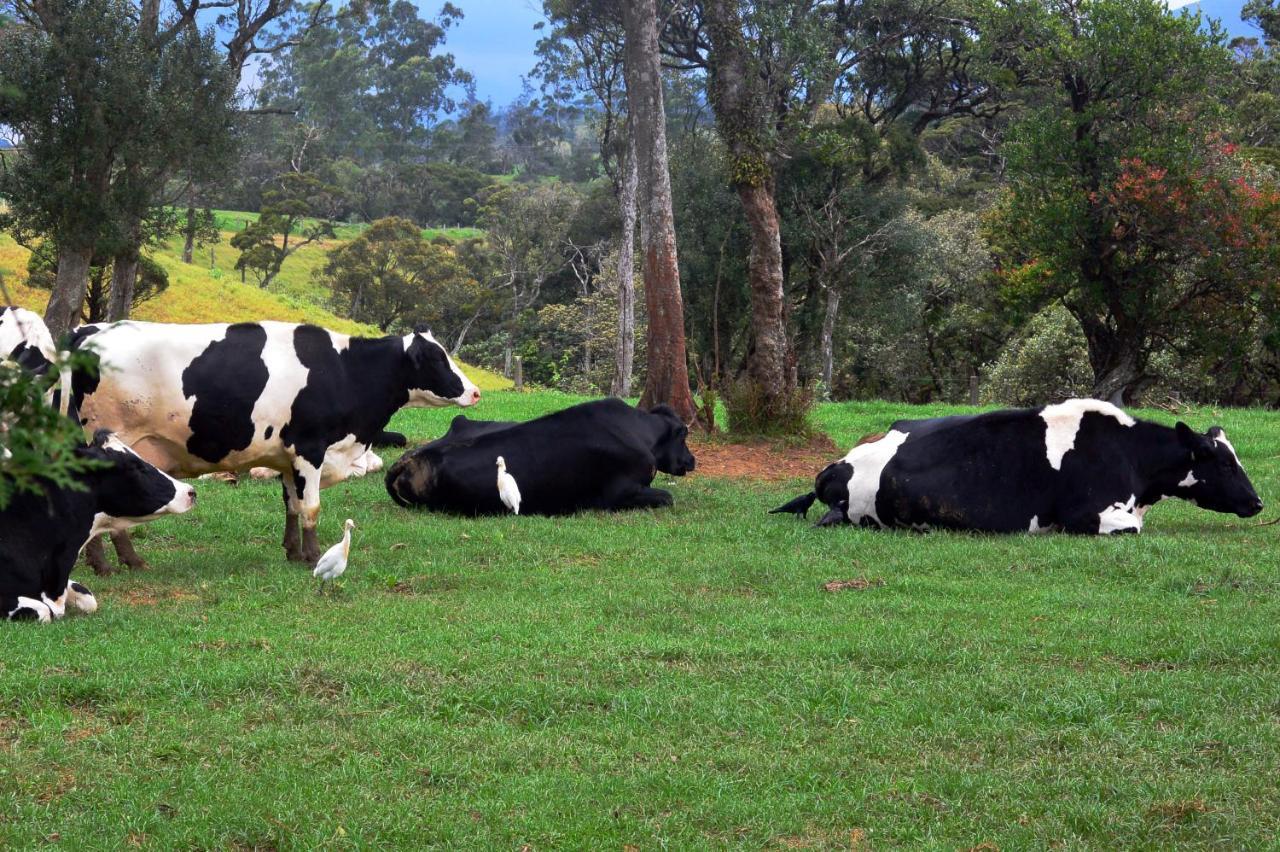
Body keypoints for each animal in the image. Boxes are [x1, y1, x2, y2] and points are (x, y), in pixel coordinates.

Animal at [70, 314, 481, 560]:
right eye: (437, 358)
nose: (476, 392)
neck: (344, 370)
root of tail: (90, 331)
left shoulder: (287, 456)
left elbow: (291, 505)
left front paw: (292, 551)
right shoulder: (310, 449)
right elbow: (311, 507)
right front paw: (312, 556)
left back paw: (127, 561)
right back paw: (109, 563)